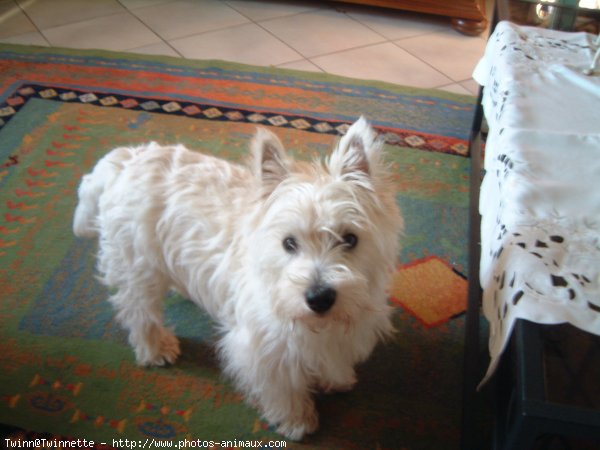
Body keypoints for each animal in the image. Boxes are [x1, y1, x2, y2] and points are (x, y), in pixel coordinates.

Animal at [74, 116, 404, 440]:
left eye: (350, 239)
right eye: (288, 243)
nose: (319, 298)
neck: (318, 326)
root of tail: (125, 160)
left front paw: (337, 379)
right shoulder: (263, 346)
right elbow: (280, 386)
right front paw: (296, 420)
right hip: (137, 266)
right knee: (138, 311)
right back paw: (157, 348)